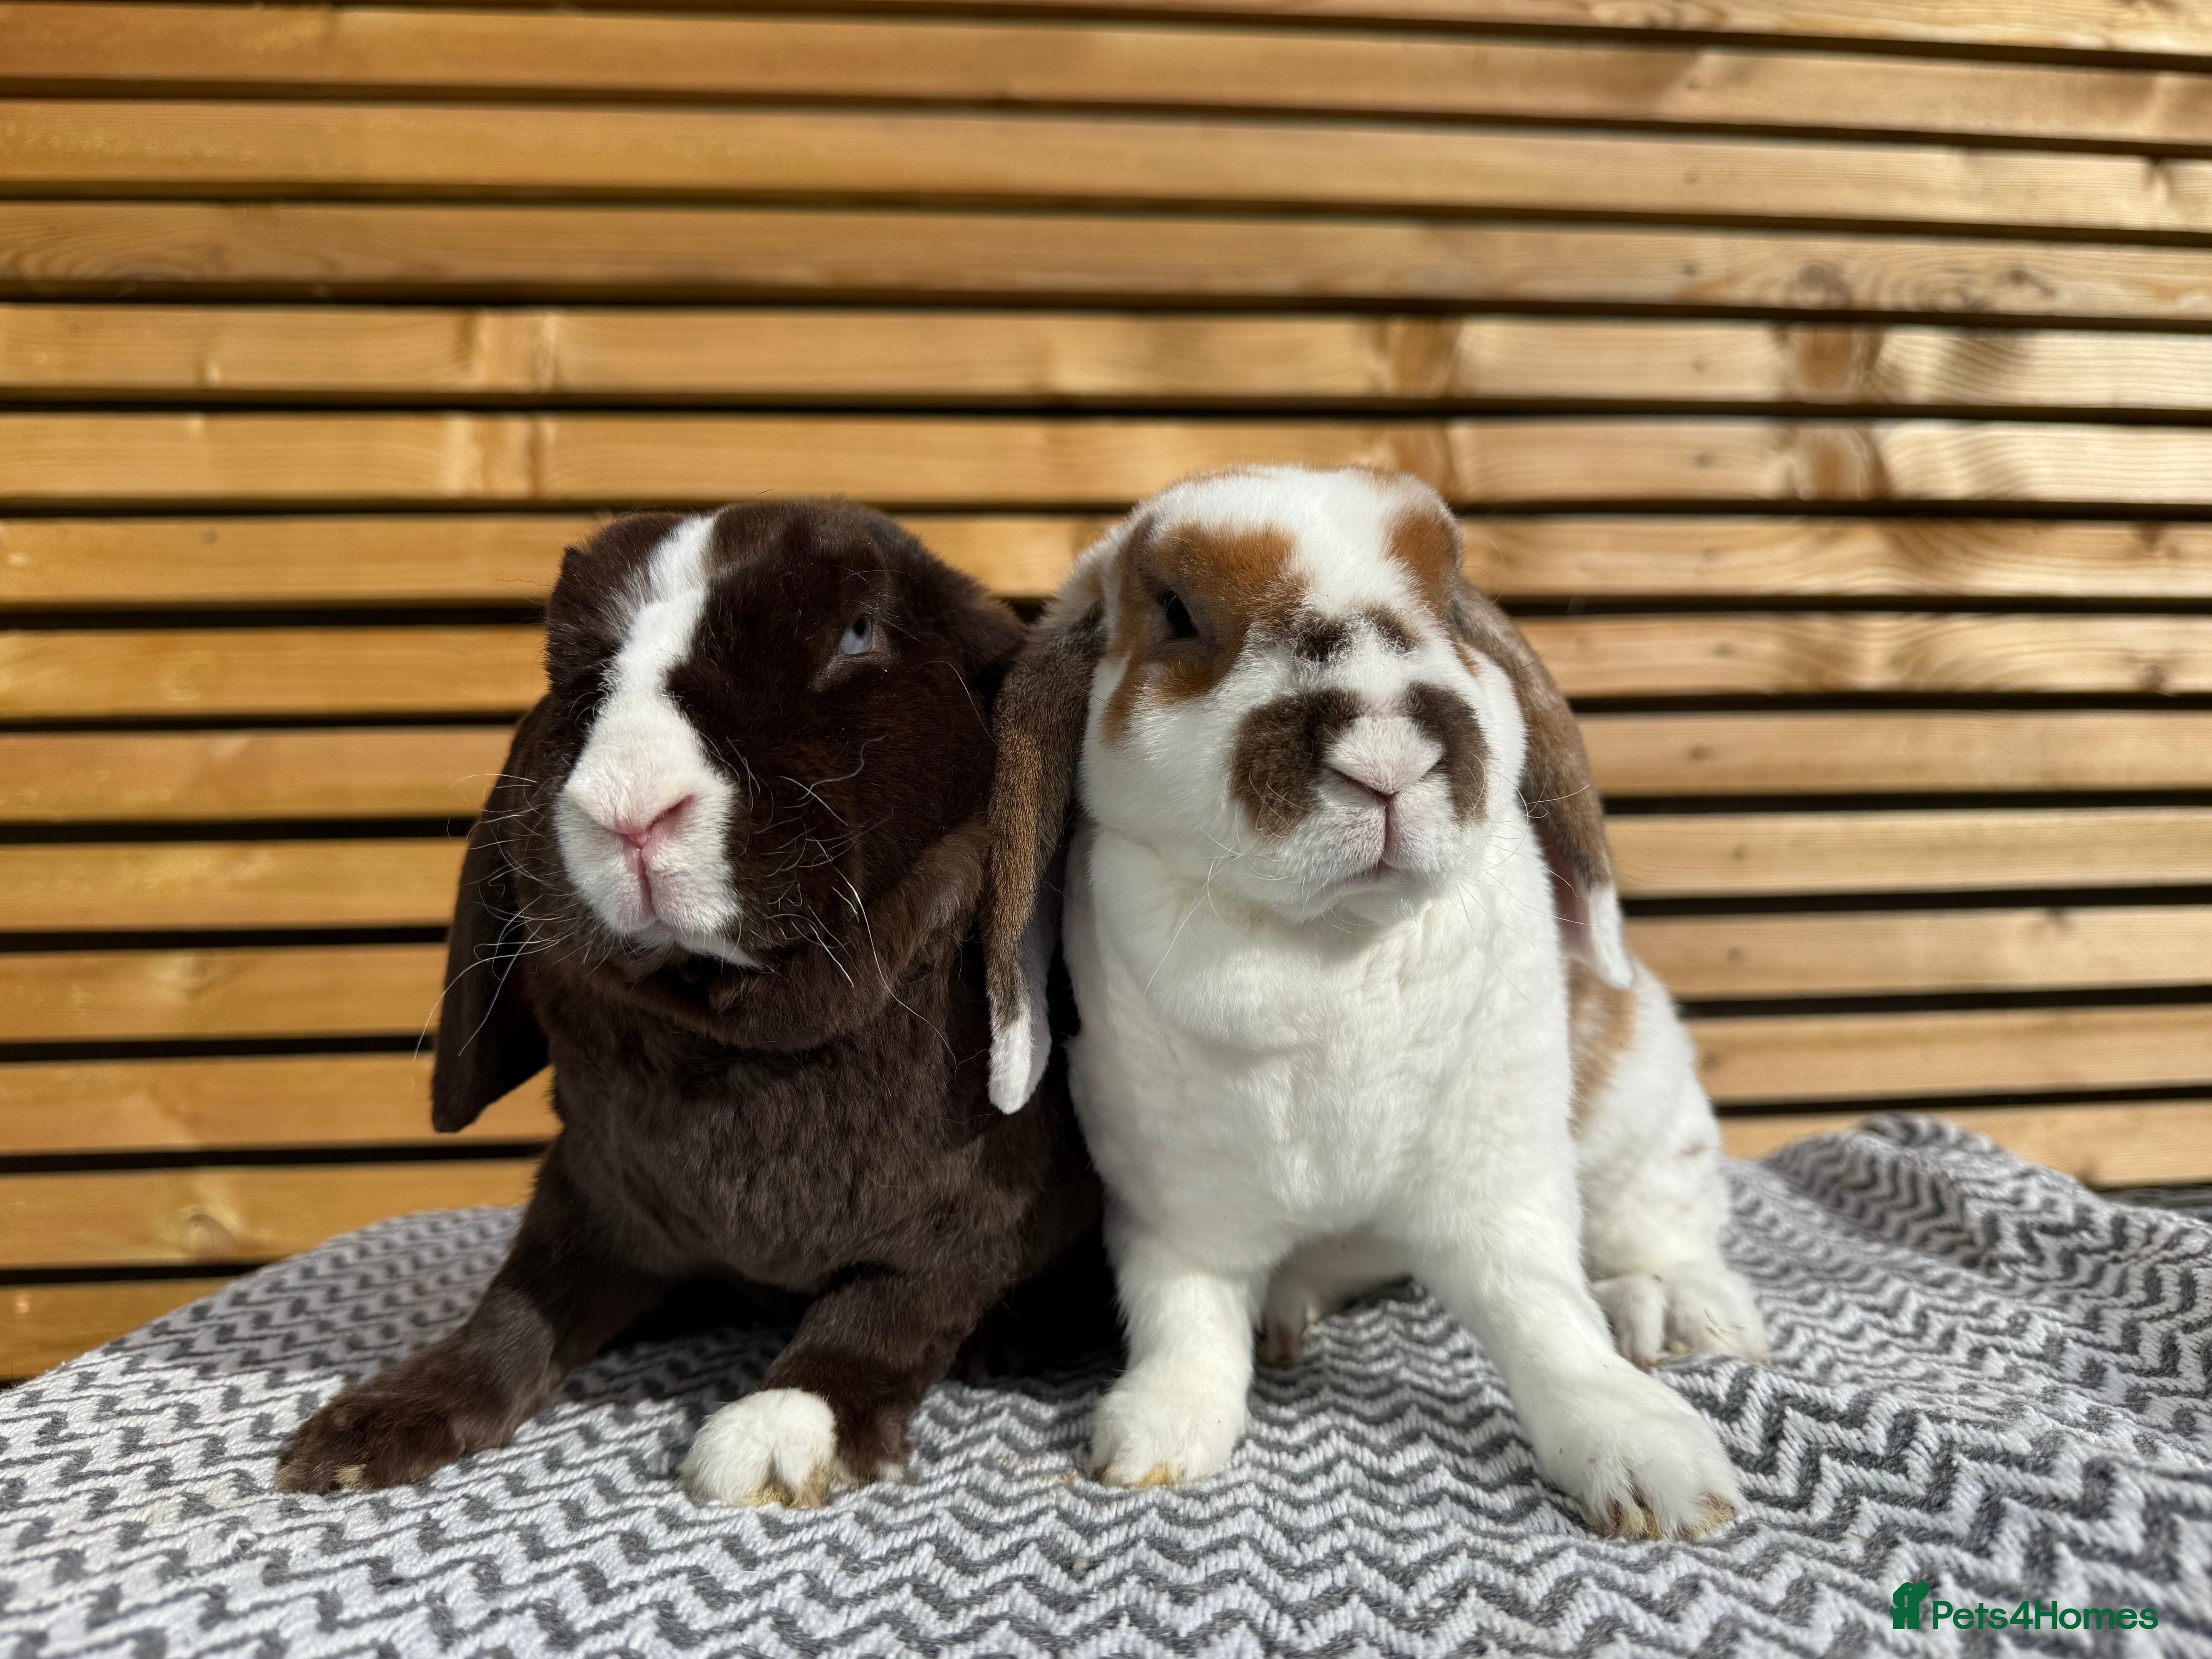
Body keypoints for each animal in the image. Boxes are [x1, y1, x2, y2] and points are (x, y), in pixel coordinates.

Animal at [277, 501, 1099, 1507]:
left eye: (859, 633)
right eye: (571, 671)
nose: (629, 810)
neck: (740, 1040)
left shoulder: (975, 1214)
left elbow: (883, 1313)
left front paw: (781, 1433)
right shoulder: (588, 1190)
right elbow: (515, 1308)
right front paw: (368, 1430)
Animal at [980, 464, 1763, 1540]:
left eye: (1449, 603)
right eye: (1178, 614)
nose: (1389, 757)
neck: (1328, 945)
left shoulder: (1498, 1187)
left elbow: (1544, 1312)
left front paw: (1653, 1460)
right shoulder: (1176, 1208)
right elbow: (1184, 1317)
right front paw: (1158, 1435)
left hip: (1642, 1093)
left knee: (1666, 1216)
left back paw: (1682, 1312)